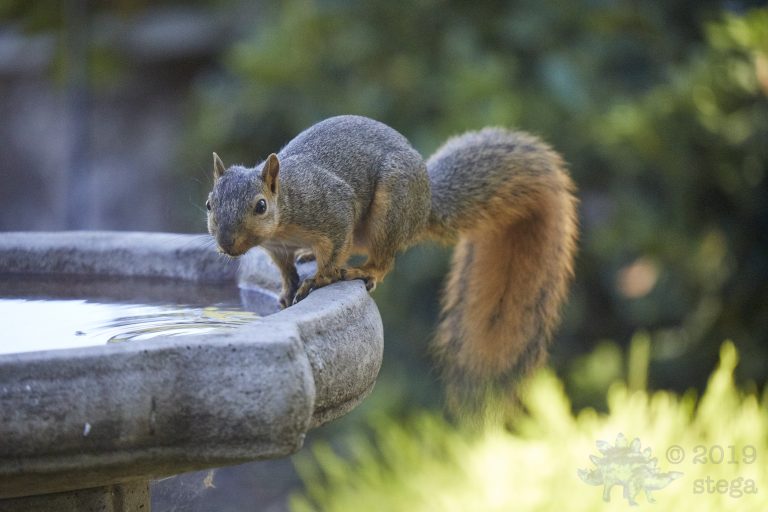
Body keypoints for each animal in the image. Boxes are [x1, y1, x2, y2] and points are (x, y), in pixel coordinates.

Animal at [206, 115, 578, 417]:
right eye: (210, 204)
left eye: (260, 206)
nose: (227, 244)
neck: (287, 206)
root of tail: (425, 205)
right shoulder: (276, 249)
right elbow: (285, 270)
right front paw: (286, 291)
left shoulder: (333, 209)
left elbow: (335, 247)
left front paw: (319, 279)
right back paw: (310, 257)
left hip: (392, 206)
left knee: (383, 259)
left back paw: (362, 270)